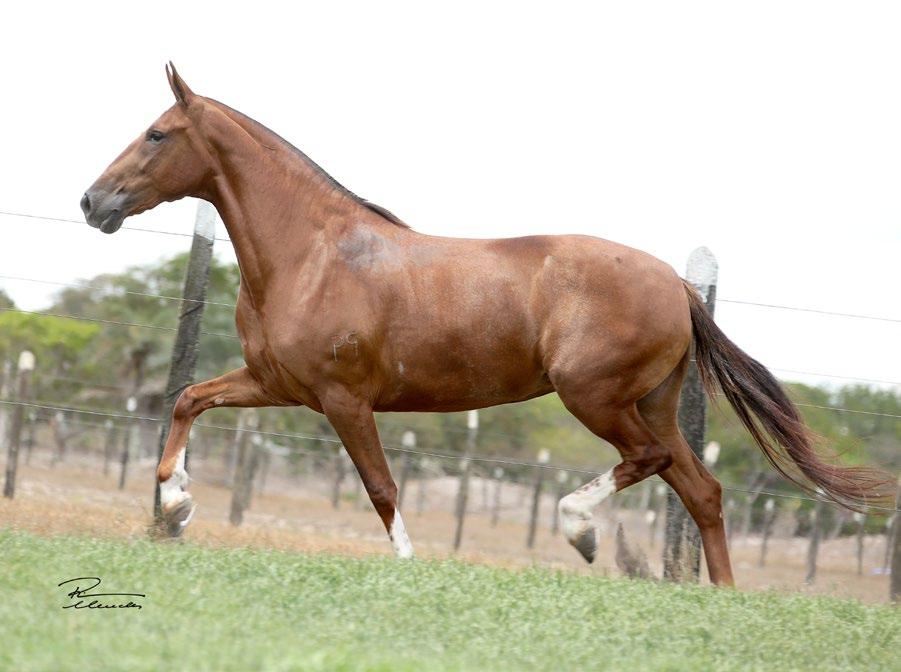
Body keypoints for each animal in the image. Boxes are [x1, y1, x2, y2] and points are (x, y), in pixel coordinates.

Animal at [81, 65, 888, 584]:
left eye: (156, 134)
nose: (93, 202)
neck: (311, 254)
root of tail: (677, 283)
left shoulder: (344, 400)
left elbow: (381, 487)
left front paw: (409, 566)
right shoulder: (275, 383)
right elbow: (187, 400)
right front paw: (173, 509)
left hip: (593, 397)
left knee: (652, 464)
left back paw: (580, 531)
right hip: (651, 402)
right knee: (703, 490)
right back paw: (718, 597)